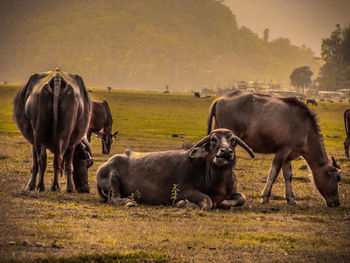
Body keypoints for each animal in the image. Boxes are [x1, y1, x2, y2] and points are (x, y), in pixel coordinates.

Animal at [96, 129, 254, 210]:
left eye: (233, 140)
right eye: (213, 139)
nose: (225, 152)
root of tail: (103, 166)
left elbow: (242, 197)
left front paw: (226, 203)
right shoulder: (182, 192)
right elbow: (207, 201)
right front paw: (184, 204)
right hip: (113, 179)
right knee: (114, 198)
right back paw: (128, 202)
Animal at [208, 91, 342, 208]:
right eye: (337, 178)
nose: (336, 203)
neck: (305, 129)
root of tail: (220, 99)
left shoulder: (287, 156)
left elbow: (288, 175)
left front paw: (291, 199)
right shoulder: (282, 151)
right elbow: (273, 173)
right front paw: (265, 197)